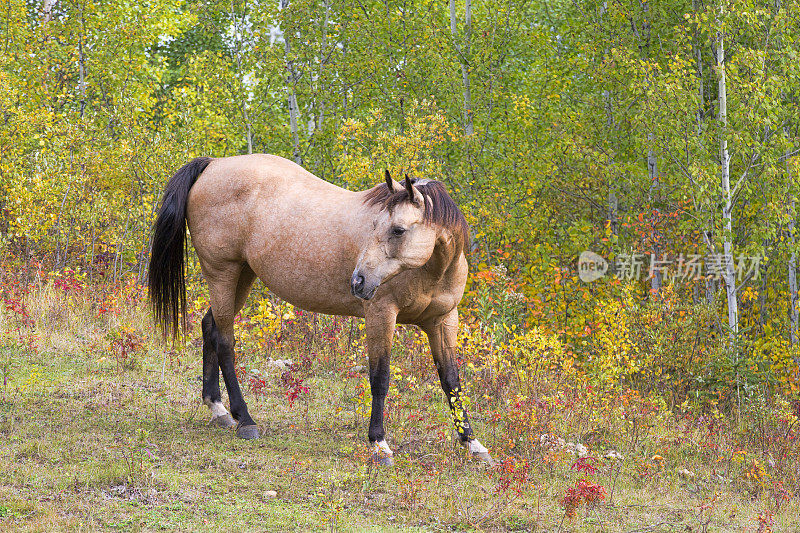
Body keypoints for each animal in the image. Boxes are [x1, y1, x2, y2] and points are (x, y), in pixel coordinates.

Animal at [147, 152, 490, 464]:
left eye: (398, 229)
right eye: (374, 224)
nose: (358, 281)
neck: (431, 271)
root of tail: (214, 164)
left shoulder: (443, 321)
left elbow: (451, 380)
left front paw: (472, 444)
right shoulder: (381, 315)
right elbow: (380, 379)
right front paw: (379, 444)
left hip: (242, 276)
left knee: (210, 327)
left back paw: (218, 409)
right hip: (223, 274)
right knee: (225, 343)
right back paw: (245, 420)